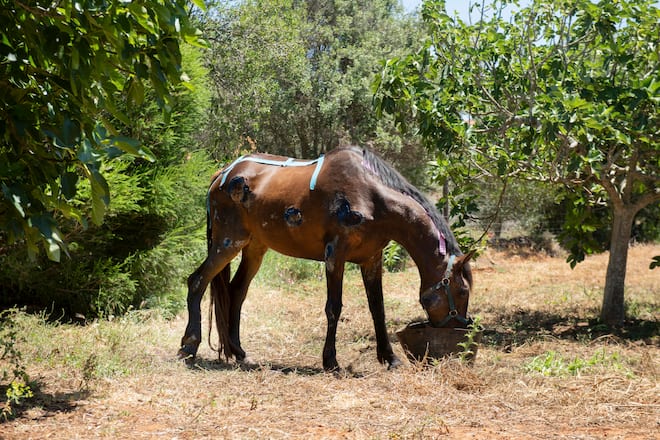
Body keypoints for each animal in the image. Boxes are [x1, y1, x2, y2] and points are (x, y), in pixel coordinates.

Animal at [179, 146, 474, 371]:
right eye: (462, 290)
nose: (461, 329)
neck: (370, 196)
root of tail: (222, 175)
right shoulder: (335, 254)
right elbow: (334, 307)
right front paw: (330, 361)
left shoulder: (371, 259)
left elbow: (378, 309)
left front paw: (390, 358)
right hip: (227, 243)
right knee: (197, 281)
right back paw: (188, 346)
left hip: (254, 248)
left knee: (236, 292)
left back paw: (238, 351)